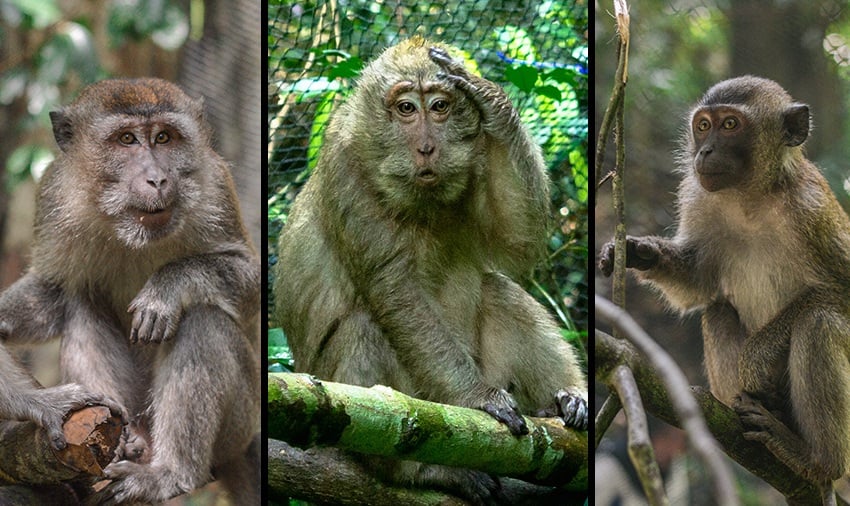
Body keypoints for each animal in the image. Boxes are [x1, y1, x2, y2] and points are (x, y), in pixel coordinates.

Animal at [0, 78, 260, 503]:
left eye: (164, 137)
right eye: (126, 140)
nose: (157, 179)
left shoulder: (216, 187)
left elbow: (251, 282)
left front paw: (168, 287)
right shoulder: (53, 200)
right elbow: (51, 290)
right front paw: (44, 403)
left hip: (241, 421)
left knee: (204, 320)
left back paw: (172, 473)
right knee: (81, 303)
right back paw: (127, 443)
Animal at [274, 37, 588, 504]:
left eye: (439, 106)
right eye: (405, 108)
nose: (426, 148)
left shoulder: (479, 158)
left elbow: (519, 241)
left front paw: (487, 96)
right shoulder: (347, 172)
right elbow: (394, 287)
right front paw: (479, 398)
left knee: (499, 292)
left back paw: (566, 400)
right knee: (365, 327)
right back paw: (420, 471)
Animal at [599, 75, 850, 502]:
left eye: (730, 125)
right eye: (704, 126)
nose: (706, 150)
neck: (751, 199)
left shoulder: (812, 211)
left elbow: (840, 295)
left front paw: (756, 357)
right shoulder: (697, 198)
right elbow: (698, 285)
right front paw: (637, 251)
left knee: (820, 321)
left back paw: (816, 460)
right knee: (717, 309)